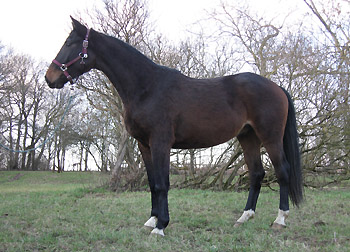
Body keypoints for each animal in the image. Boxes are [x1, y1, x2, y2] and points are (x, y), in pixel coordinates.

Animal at [45, 17, 302, 236]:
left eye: (69, 43)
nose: (49, 78)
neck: (147, 87)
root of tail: (277, 87)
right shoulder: (144, 145)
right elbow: (152, 183)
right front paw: (152, 220)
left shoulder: (161, 142)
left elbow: (162, 183)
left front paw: (161, 226)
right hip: (247, 137)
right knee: (257, 173)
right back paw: (244, 217)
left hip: (270, 137)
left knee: (282, 171)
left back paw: (280, 219)